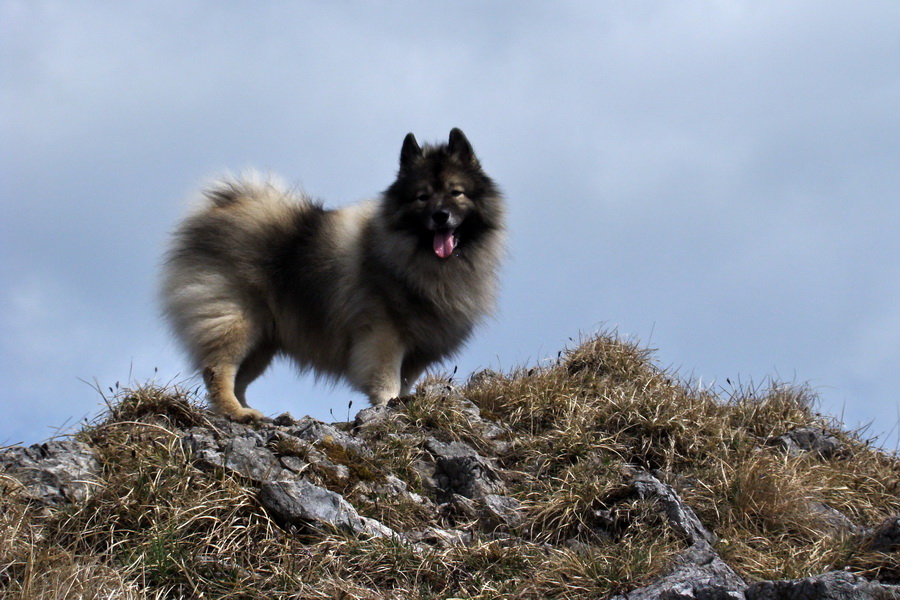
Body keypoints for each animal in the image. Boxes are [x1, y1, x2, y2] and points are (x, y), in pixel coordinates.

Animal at [162, 130, 506, 422]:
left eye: (456, 193)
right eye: (422, 197)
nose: (440, 216)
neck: (420, 261)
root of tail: (218, 211)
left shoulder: (418, 350)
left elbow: (404, 381)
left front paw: (401, 404)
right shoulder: (382, 335)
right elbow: (386, 378)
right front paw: (388, 404)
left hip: (263, 342)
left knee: (238, 379)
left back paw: (251, 412)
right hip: (237, 321)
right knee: (219, 370)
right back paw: (235, 412)